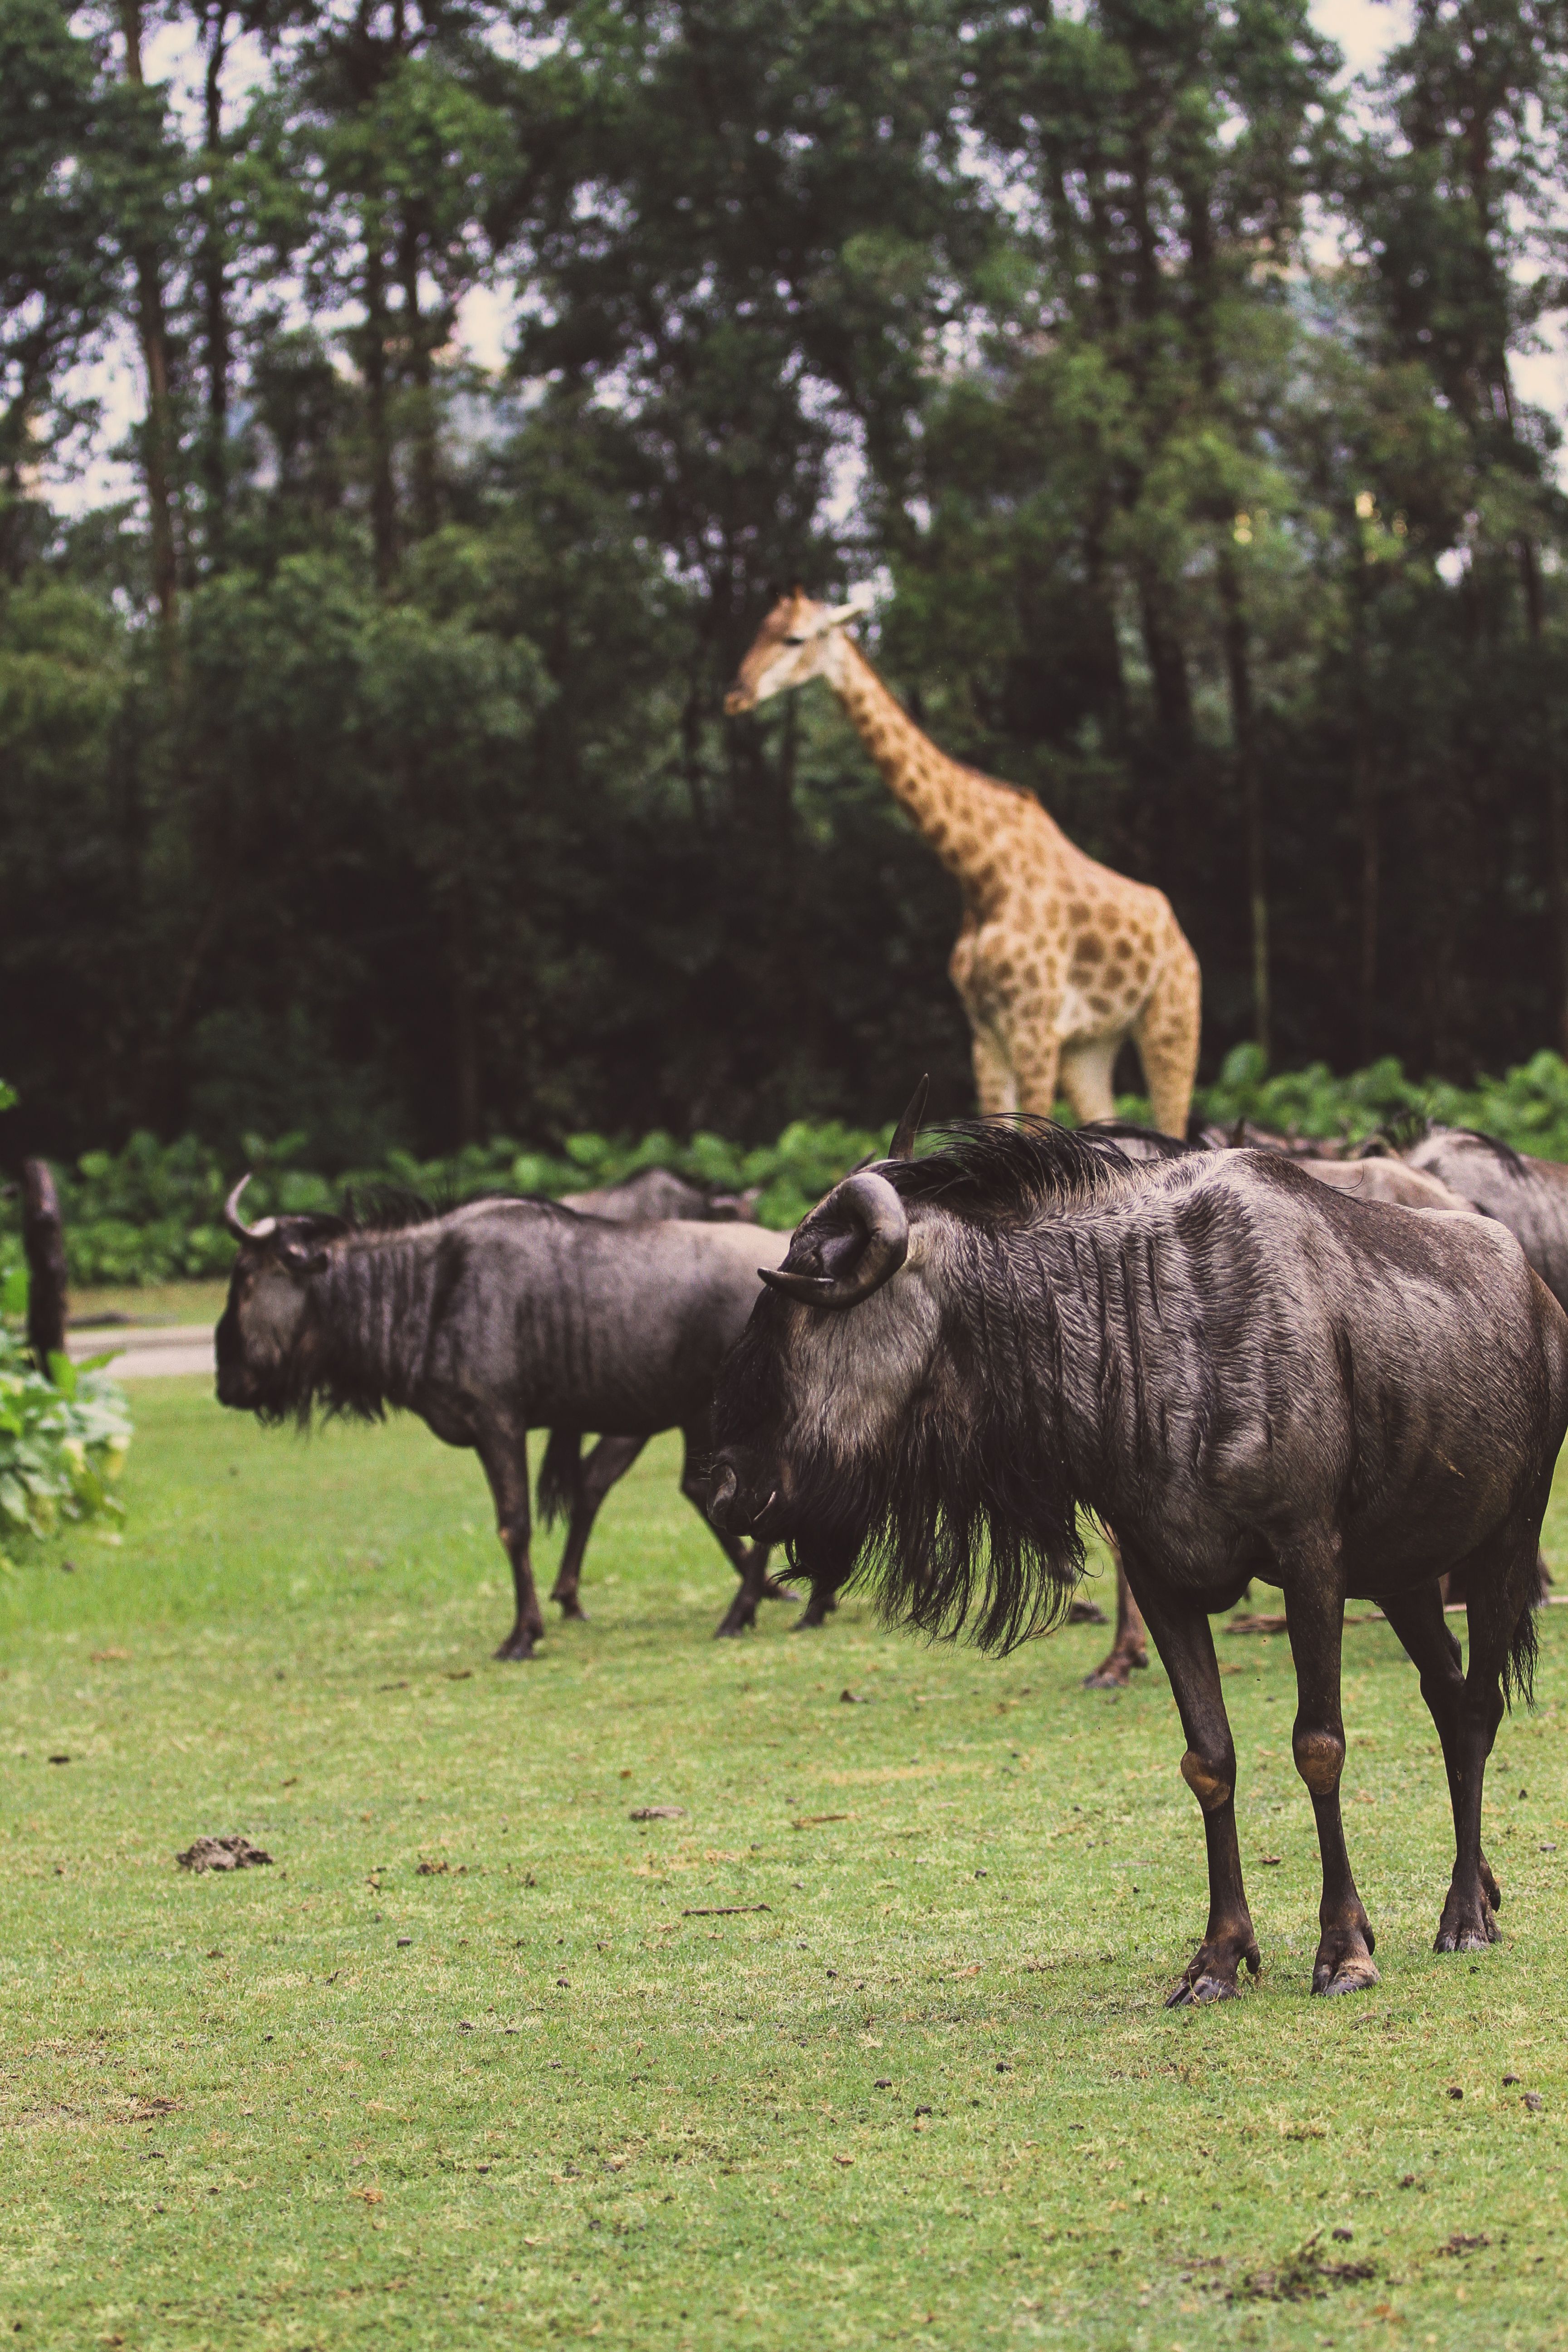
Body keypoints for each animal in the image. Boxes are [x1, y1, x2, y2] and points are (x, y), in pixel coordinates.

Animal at [725, 589, 1202, 1689]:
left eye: (799, 637)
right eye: (762, 630)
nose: (736, 694)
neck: (979, 871)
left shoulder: (1030, 1020)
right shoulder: (990, 1029)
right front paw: (1099, 1612)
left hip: (1168, 1021)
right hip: (1095, 1047)